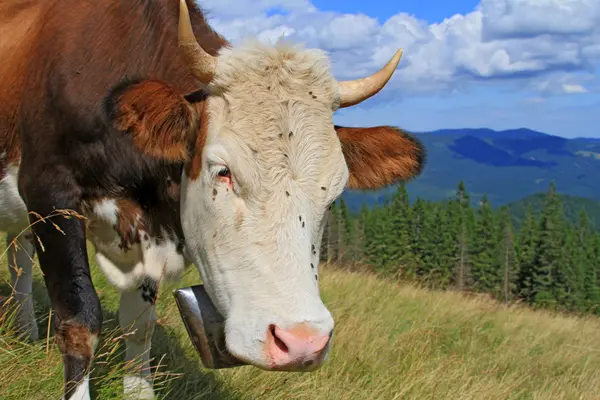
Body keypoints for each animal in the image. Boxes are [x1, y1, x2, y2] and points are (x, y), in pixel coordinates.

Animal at [0, 0, 424, 398]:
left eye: (333, 194)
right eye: (223, 171)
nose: (302, 342)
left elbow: (139, 325)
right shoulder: (49, 194)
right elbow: (80, 319)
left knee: (18, 259)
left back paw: (25, 331)